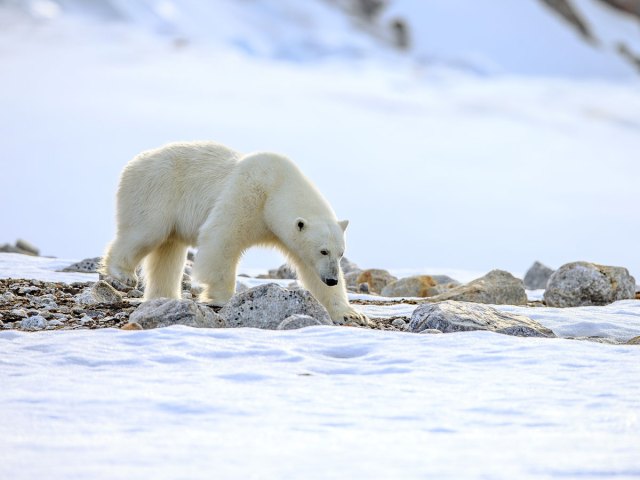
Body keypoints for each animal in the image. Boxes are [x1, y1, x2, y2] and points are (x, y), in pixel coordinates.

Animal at [102, 140, 368, 326]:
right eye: (323, 250)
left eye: (340, 253)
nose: (332, 279)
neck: (278, 188)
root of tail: (135, 161)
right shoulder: (248, 192)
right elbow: (221, 239)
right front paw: (220, 297)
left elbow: (311, 272)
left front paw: (351, 314)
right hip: (155, 189)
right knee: (145, 232)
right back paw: (123, 273)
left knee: (168, 251)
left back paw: (164, 297)